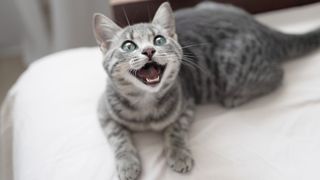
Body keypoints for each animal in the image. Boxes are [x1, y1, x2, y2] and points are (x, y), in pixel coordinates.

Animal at [92, 1, 320, 180]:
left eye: (159, 40)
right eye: (128, 46)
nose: (149, 50)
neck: (145, 104)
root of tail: (261, 26)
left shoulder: (187, 104)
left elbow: (175, 130)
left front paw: (178, 154)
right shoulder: (104, 110)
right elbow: (119, 138)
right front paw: (127, 164)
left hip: (232, 70)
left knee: (278, 74)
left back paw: (234, 98)